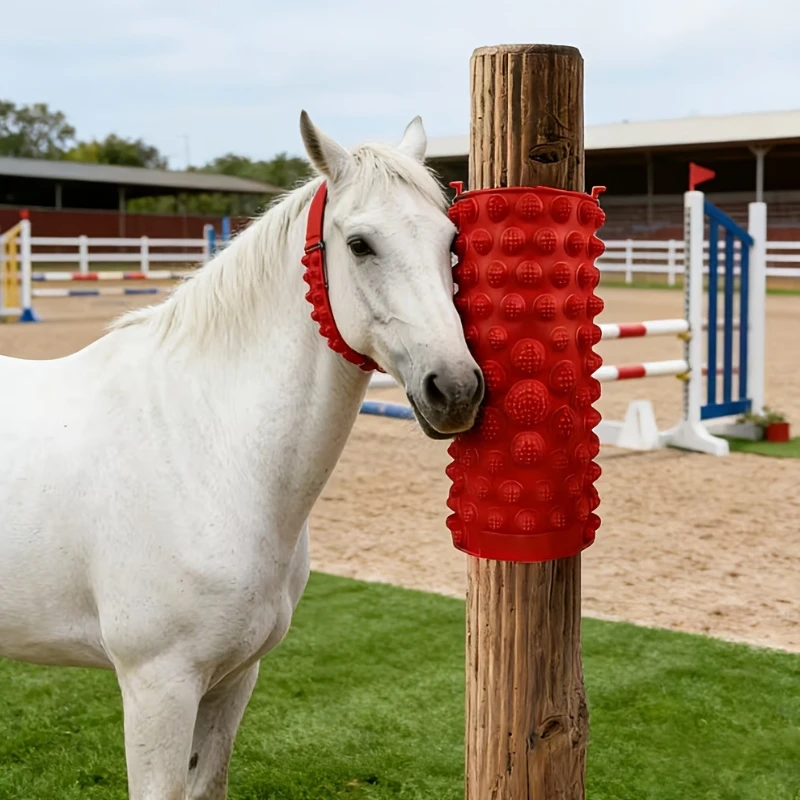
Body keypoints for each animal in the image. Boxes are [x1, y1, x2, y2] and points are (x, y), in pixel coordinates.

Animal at [0, 112, 484, 799]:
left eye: (450, 243)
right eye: (360, 244)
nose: (457, 389)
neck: (208, 447)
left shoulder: (232, 680)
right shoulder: (158, 685)